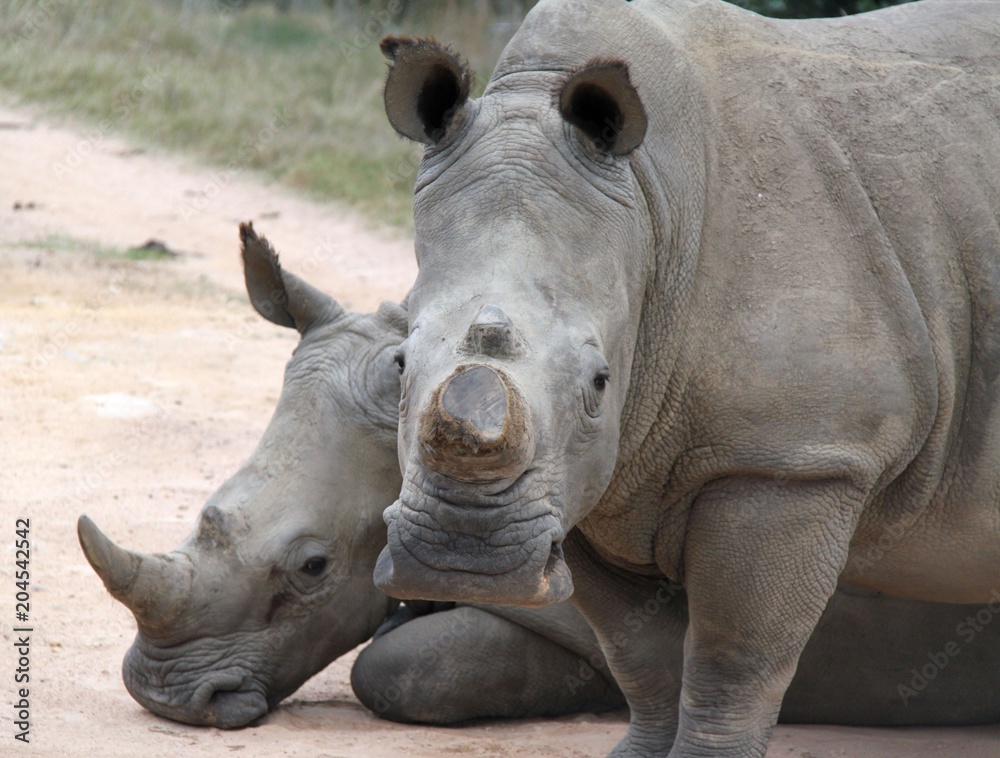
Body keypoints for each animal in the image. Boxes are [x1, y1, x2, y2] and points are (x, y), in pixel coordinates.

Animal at [370, 2, 1000, 756]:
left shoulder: (791, 461)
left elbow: (735, 655)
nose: (464, 560)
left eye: (599, 383)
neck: (650, 210)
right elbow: (636, 651)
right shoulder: (600, 474)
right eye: (399, 363)